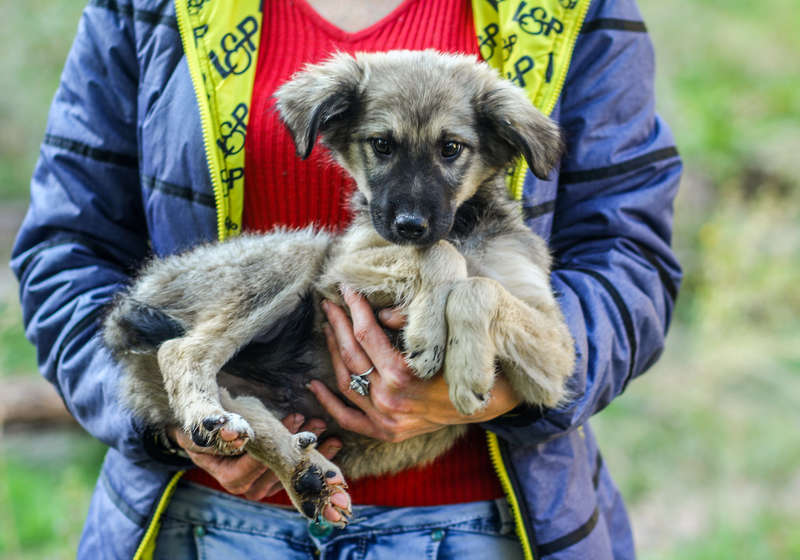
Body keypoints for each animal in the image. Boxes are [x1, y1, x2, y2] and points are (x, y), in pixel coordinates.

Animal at [103, 48, 576, 524]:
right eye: (382, 145)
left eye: (451, 149)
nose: (409, 225)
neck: (460, 225)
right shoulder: (341, 269)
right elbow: (440, 257)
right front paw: (432, 335)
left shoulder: (555, 360)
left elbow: (480, 287)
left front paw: (467, 366)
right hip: (299, 255)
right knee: (181, 351)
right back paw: (210, 418)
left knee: (242, 404)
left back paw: (303, 474)